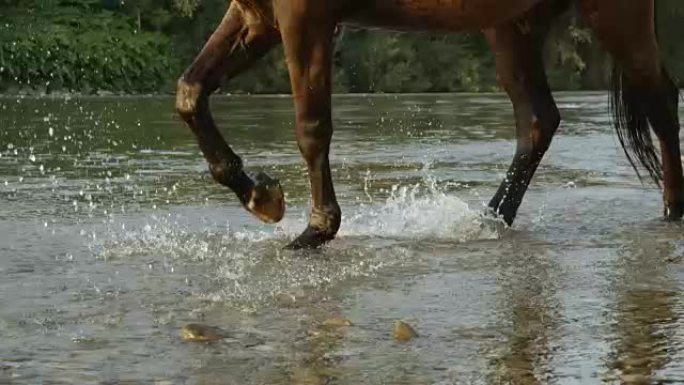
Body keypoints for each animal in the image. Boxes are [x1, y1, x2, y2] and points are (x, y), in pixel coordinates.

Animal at [178, 0, 684, 249]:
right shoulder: (256, 14)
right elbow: (190, 94)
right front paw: (260, 196)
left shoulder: (303, 17)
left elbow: (312, 125)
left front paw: (317, 229)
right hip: (512, 26)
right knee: (538, 121)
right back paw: (488, 219)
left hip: (616, 14)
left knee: (660, 101)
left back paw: (672, 212)